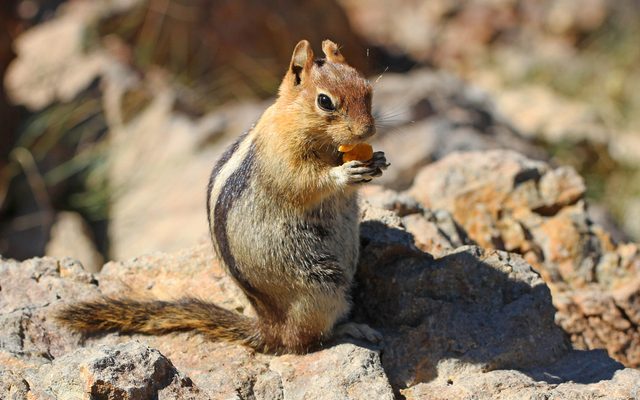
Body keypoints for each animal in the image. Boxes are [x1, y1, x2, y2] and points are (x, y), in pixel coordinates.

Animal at [56, 39, 389, 354]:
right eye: (325, 101)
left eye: (367, 88)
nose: (367, 131)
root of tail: (270, 327)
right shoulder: (281, 157)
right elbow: (304, 182)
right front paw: (344, 174)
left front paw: (379, 160)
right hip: (321, 284)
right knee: (307, 340)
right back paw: (349, 329)